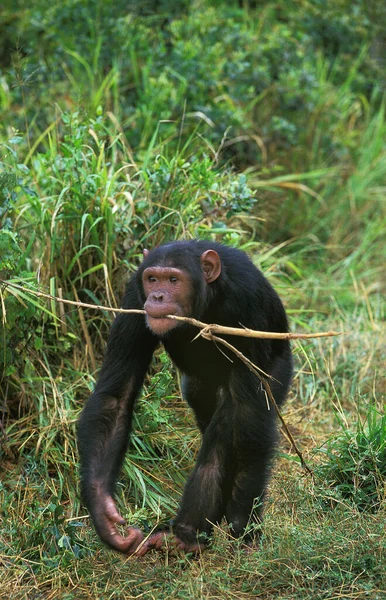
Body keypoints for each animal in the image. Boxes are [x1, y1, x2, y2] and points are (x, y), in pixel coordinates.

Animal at [80, 239, 294, 552]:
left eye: (173, 280)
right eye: (152, 278)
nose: (157, 296)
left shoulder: (248, 303)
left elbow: (248, 415)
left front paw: (243, 524)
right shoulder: (133, 298)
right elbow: (116, 396)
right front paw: (104, 514)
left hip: (282, 367)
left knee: (230, 426)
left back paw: (187, 533)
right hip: (198, 385)